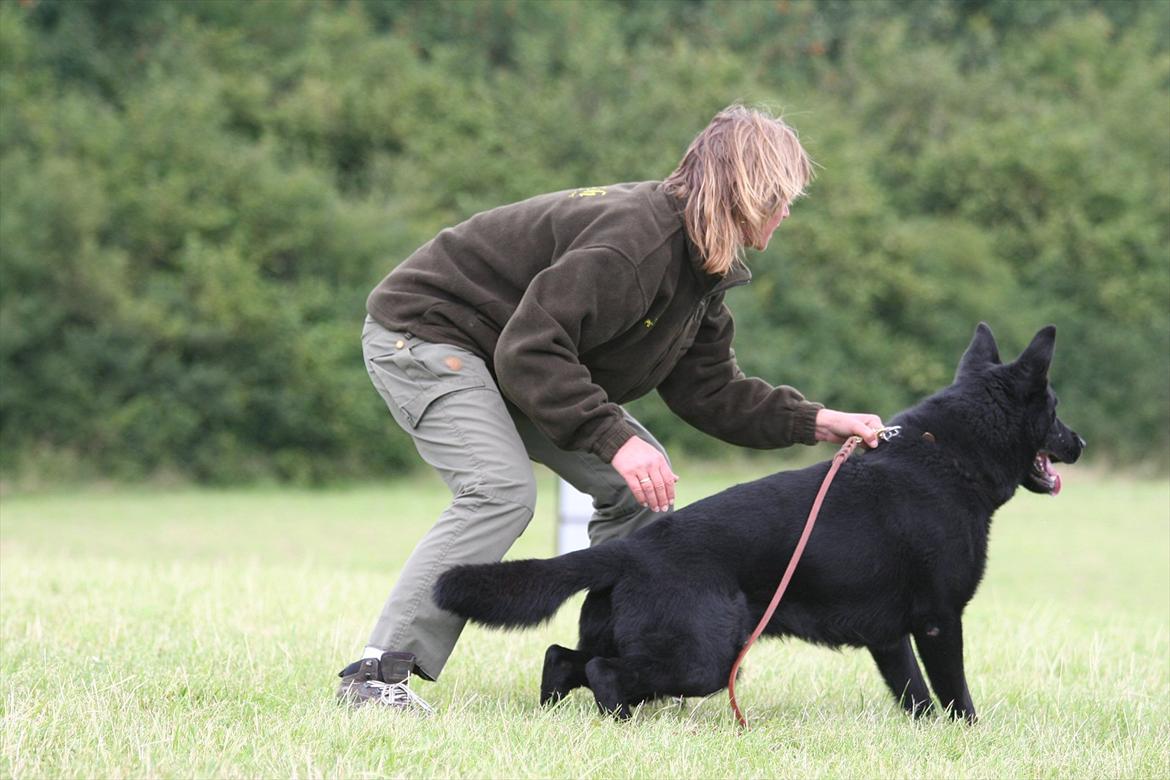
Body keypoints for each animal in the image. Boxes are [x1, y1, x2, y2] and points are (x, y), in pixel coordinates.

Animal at [437, 322, 1085, 720]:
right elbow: (954, 695)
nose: (1078, 443)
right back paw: (623, 719)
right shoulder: (937, 621)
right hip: (706, 657)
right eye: (1054, 410)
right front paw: (969, 735)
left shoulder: (890, 637)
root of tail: (631, 552)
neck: (947, 455)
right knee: (602, 670)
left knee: (561, 657)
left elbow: (915, 695)